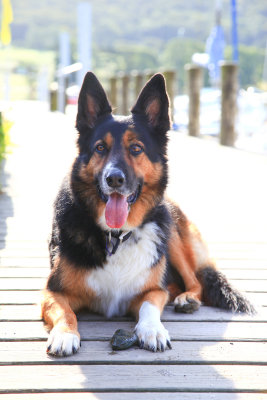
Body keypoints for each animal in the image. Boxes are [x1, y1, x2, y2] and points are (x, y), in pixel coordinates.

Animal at [40, 72, 254, 356]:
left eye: (136, 149)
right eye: (100, 148)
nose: (114, 179)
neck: (116, 236)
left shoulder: (154, 290)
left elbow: (149, 305)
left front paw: (152, 330)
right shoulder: (52, 291)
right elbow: (65, 311)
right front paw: (65, 334)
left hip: (171, 232)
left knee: (194, 281)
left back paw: (187, 298)